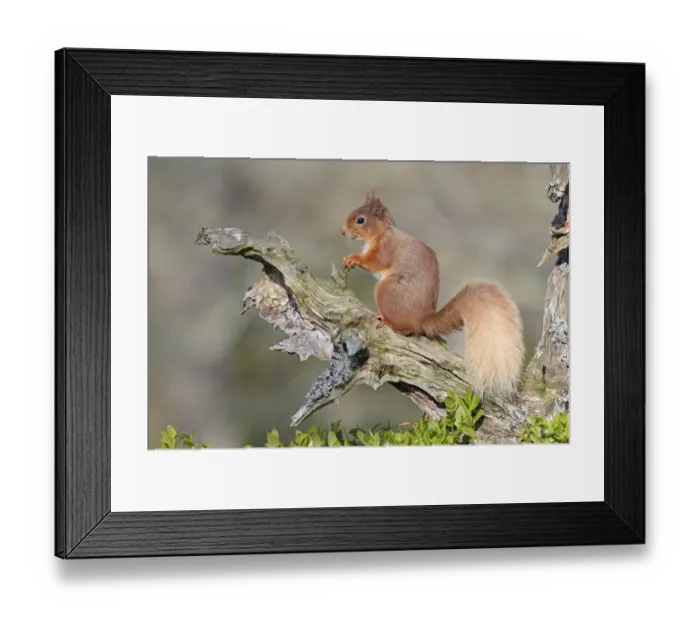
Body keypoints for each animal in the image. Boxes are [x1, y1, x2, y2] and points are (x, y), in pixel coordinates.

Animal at [341, 190, 525, 397]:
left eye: (361, 220)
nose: (342, 231)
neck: (382, 233)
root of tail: (421, 319)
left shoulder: (385, 250)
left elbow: (374, 262)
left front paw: (352, 258)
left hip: (386, 291)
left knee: (407, 329)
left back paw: (388, 323)